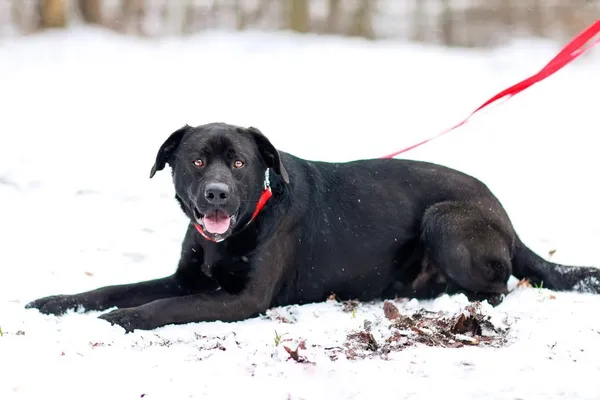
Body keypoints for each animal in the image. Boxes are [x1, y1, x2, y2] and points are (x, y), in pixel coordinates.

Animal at [25, 122, 600, 332]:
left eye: (239, 164)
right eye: (196, 161)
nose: (216, 194)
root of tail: (506, 217)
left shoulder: (241, 300)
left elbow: (162, 307)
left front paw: (121, 319)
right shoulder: (187, 279)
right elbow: (111, 288)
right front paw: (56, 303)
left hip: (446, 219)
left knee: (500, 286)